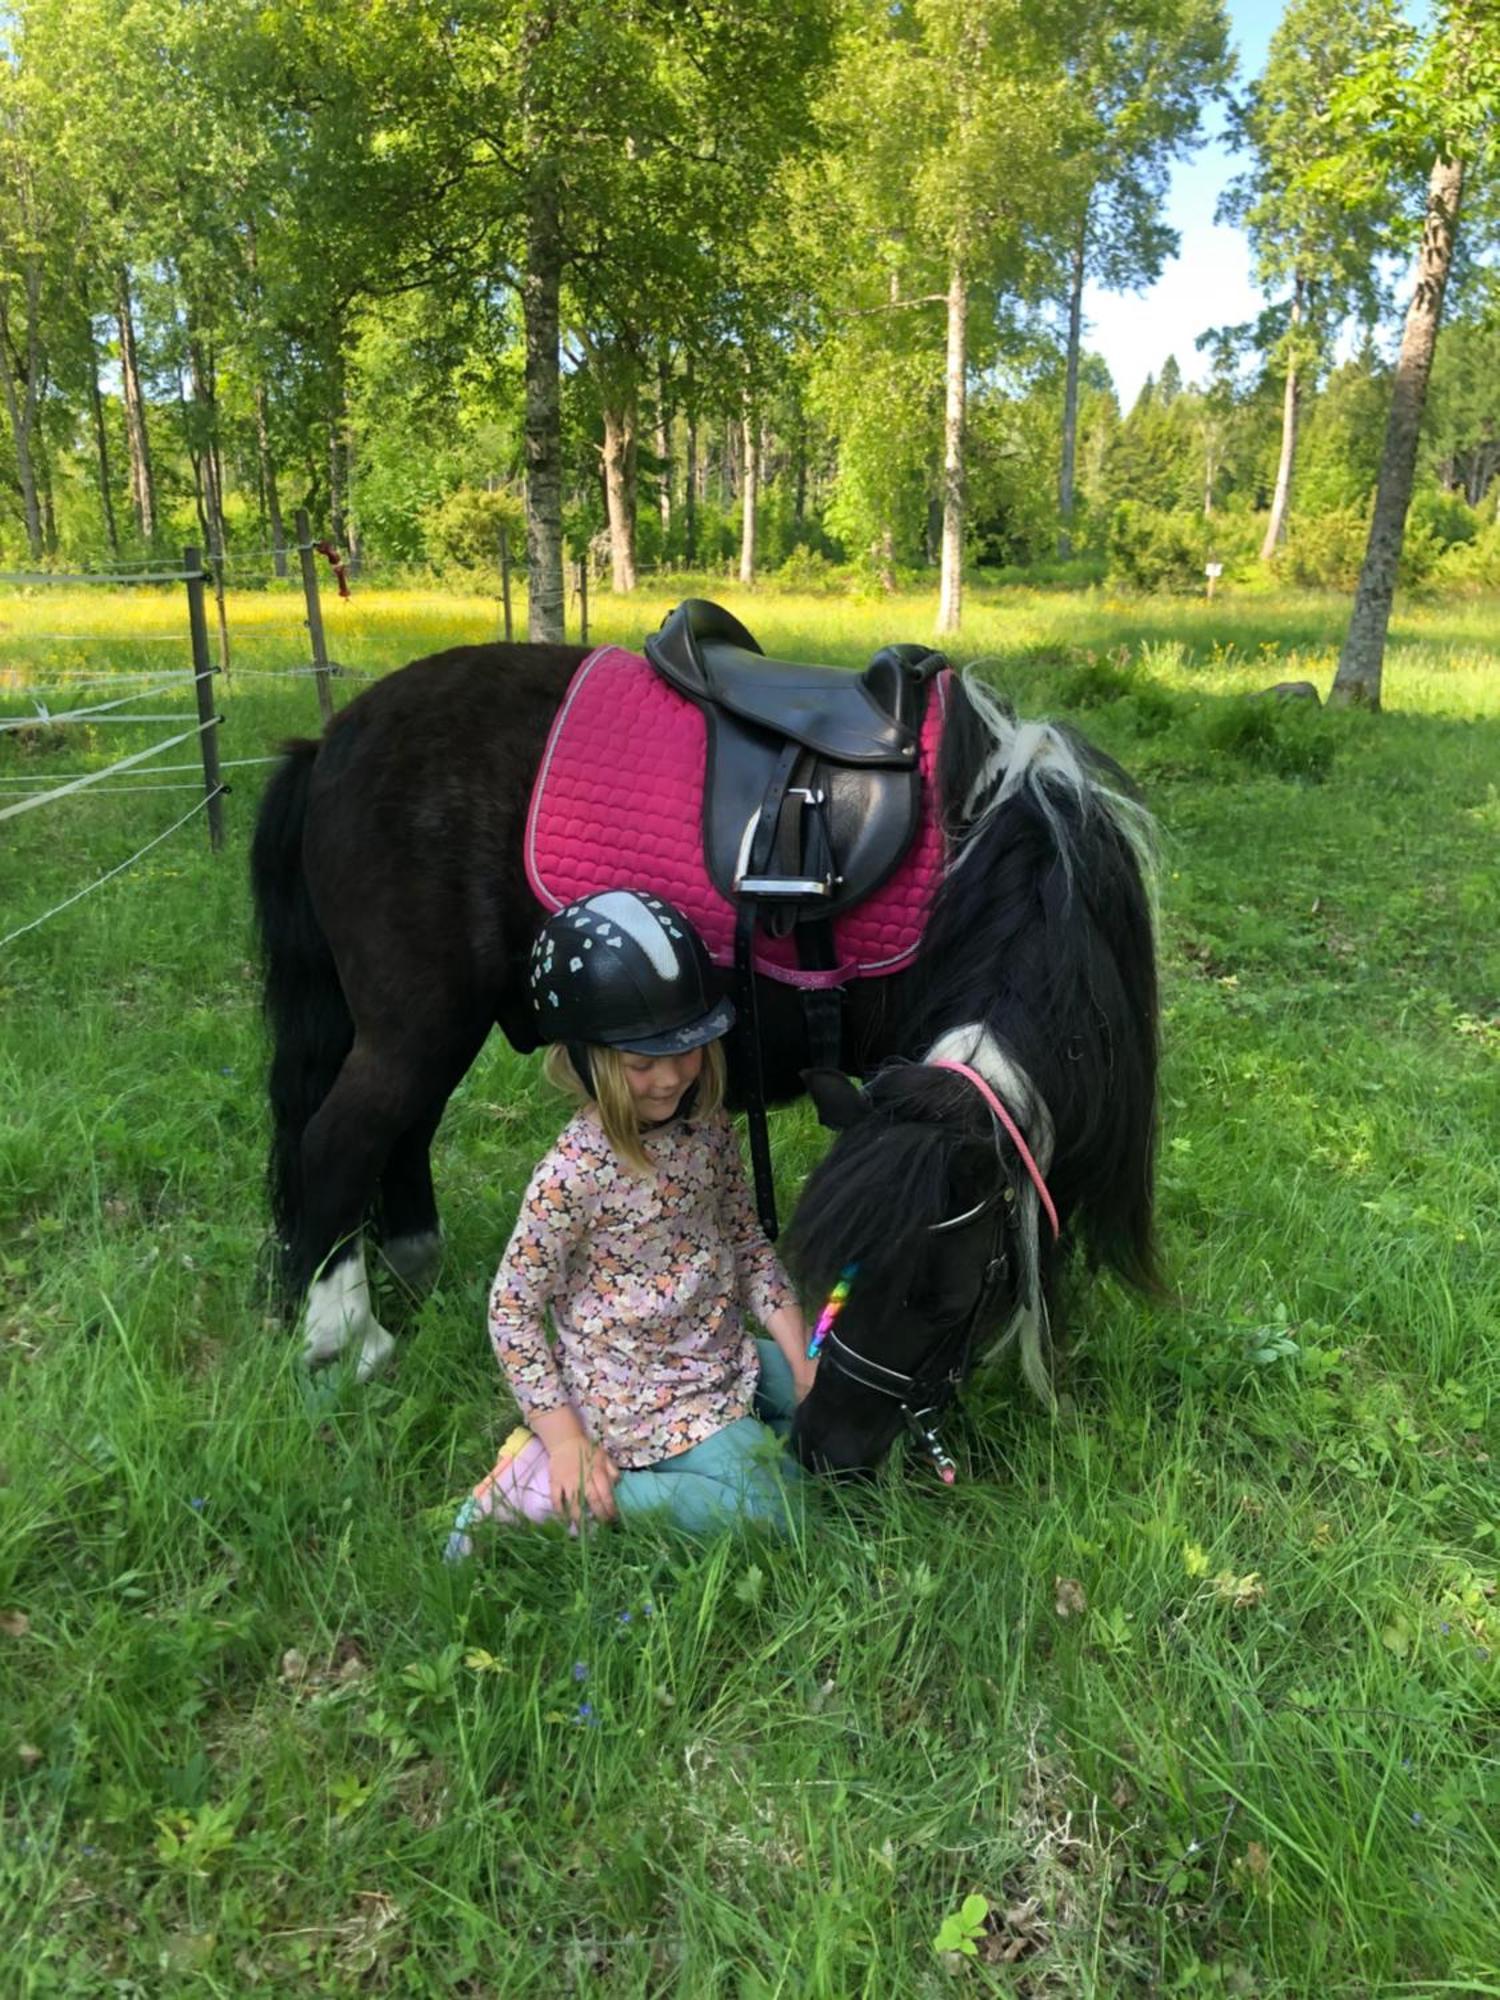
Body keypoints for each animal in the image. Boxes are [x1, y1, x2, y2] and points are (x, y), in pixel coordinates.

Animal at [253, 632, 1160, 1480]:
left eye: (943, 1302)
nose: (826, 1452)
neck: (1002, 857)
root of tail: (332, 739)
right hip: (417, 1025)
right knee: (340, 1142)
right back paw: (348, 1337)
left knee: (399, 1134)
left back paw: (414, 1264)